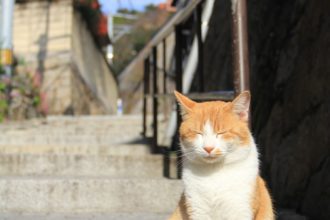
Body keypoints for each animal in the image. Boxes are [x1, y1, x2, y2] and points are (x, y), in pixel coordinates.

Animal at [169, 90, 274, 220]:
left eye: (221, 133)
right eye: (198, 133)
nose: (208, 148)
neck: (214, 173)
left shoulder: (240, 210)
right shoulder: (198, 210)